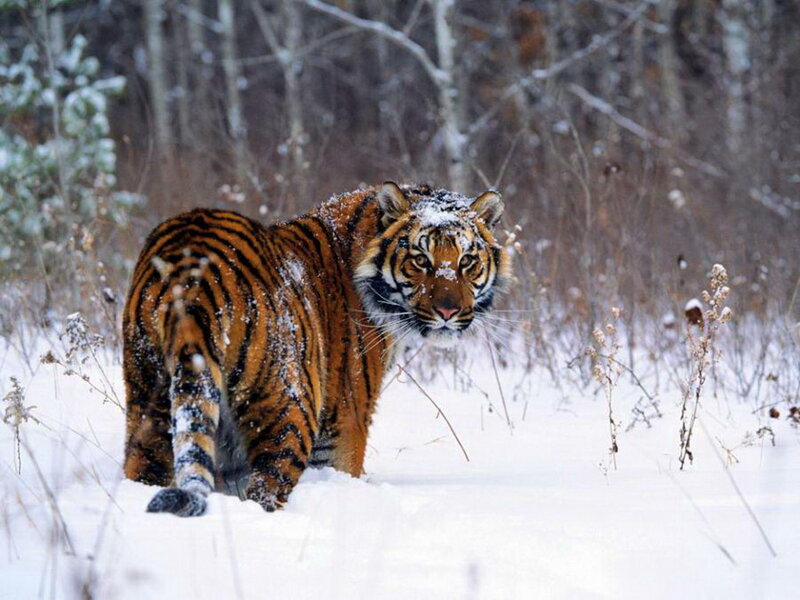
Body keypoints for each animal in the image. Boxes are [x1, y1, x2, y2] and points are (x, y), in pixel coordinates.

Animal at [122, 182, 510, 516]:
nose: (448, 312)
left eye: (466, 261)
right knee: (266, 489)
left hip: (149, 399)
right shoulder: (344, 422)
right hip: (289, 409)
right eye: (420, 260)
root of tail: (192, 272)